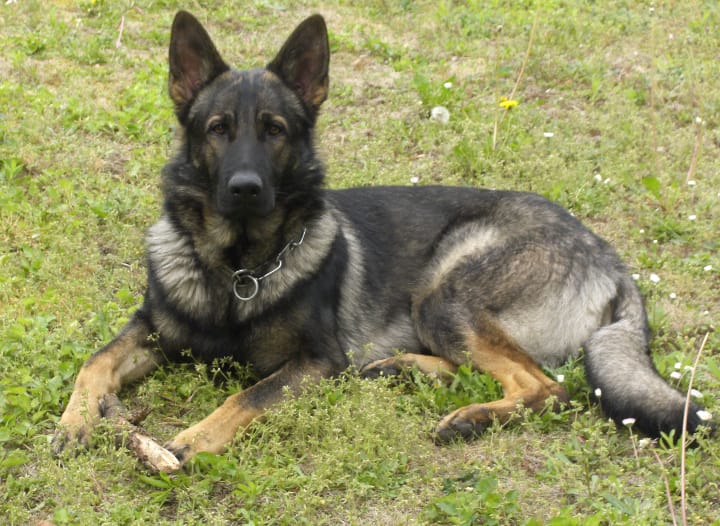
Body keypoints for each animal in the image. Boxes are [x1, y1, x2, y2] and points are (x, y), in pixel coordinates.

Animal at [53, 10, 712, 468]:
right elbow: (95, 360)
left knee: (547, 387)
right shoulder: (152, 329)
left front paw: (191, 439)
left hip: (446, 292)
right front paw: (74, 421)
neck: (237, 269)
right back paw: (405, 369)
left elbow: (248, 397)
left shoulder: (315, 361)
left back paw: (468, 417)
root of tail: (607, 255)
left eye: (274, 130)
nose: (244, 188)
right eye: (217, 129)